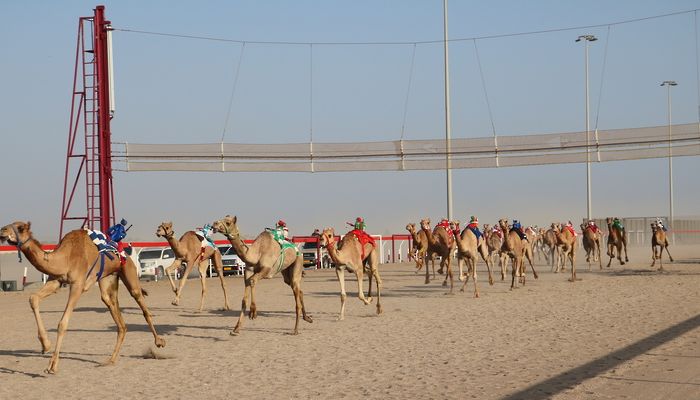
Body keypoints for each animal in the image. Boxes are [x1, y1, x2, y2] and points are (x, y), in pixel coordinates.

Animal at [0, 220, 165, 374]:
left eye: (20, 228)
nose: (2, 230)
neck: (64, 257)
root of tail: (123, 252)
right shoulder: (56, 281)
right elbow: (33, 298)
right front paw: (45, 345)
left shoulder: (77, 285)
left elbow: (62, 323)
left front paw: (52, 365)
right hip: (108, 278)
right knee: (117, 317)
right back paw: (110, 360)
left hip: (128, 271)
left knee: (142, 305)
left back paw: (159, 342)